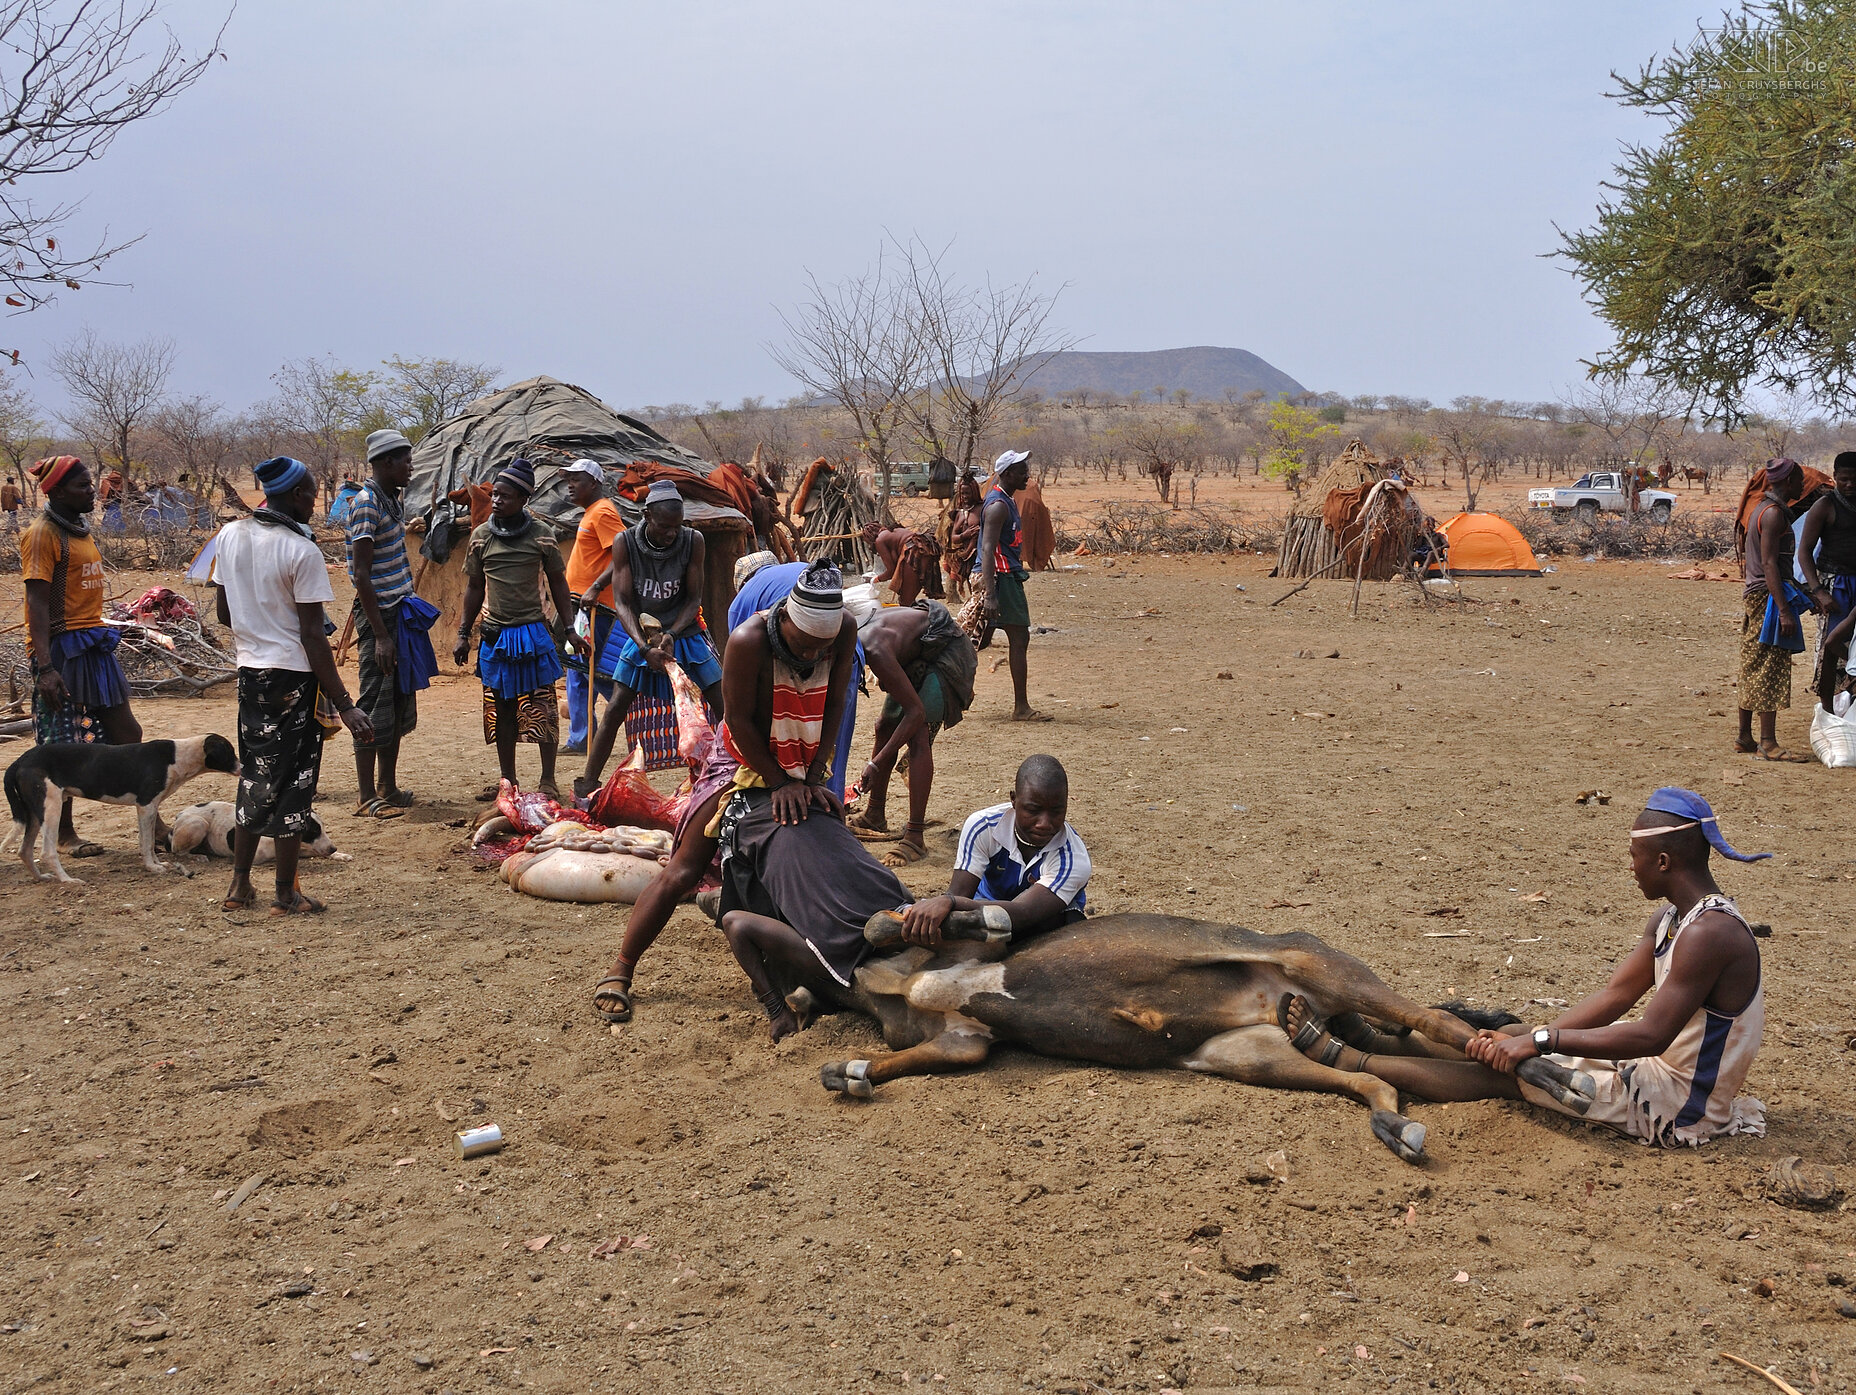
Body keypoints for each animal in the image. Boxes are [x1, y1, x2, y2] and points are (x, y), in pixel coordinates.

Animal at [2, 734, 239, 886]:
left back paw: (41, 878)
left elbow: (150, 843)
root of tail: (20, 760)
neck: (179, 756)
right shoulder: (146, 806)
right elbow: (146, 843)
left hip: (34, 812)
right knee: (47, 852)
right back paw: (68, 880)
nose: (242, 767)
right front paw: (152, 868)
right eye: (229, 752)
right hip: (51, 807)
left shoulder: (150, 808)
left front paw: (157, 863)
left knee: (24, 850)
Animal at [816, 908, 1596, 1157]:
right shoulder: (963, 1041)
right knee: (1375, 1073)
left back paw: (1548, 1070)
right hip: (1251, 1055)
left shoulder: (960, 967)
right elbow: (907, 1055)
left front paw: (980, 915)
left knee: (1435, 1025)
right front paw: (850, 1071)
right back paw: (1393, 1121)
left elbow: (893, 924)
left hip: (1326, 967)